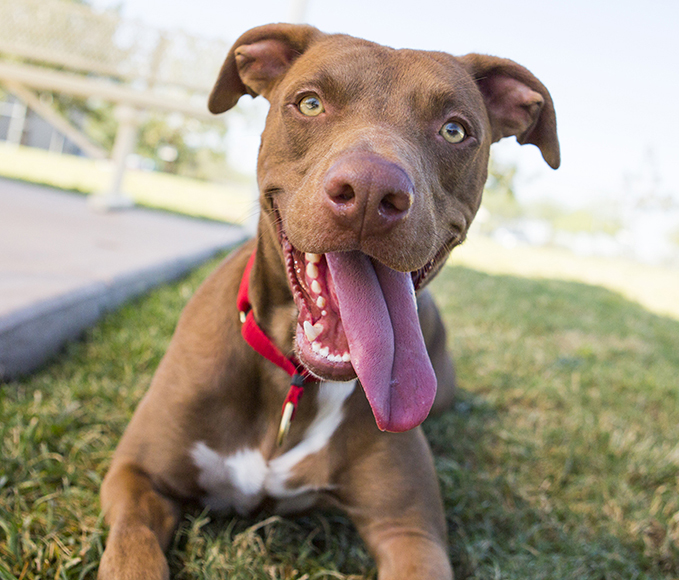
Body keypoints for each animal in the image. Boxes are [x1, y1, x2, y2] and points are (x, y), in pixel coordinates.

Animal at [99, 23, 556, 580]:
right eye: (310, 103)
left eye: (454, 130)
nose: (370, 191)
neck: (294, 383)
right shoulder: (137, 476)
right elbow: (133, 551)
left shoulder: (410, 532)